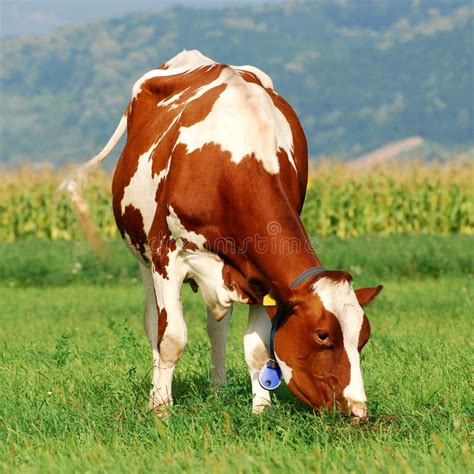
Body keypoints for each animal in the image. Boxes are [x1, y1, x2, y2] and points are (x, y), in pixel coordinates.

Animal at [64, 51, 382, 418]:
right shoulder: (167, 257)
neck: (238, 158)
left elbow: (257, 349)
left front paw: (261, 409)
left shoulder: (258, 273)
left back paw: (219, 389)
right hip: (144, 258)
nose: (358, 410)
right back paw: (156, 391)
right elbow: (171, 338)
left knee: (216, 324)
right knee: (153, 324)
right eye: (322, 336)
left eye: (363, 339)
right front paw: (161, 409)